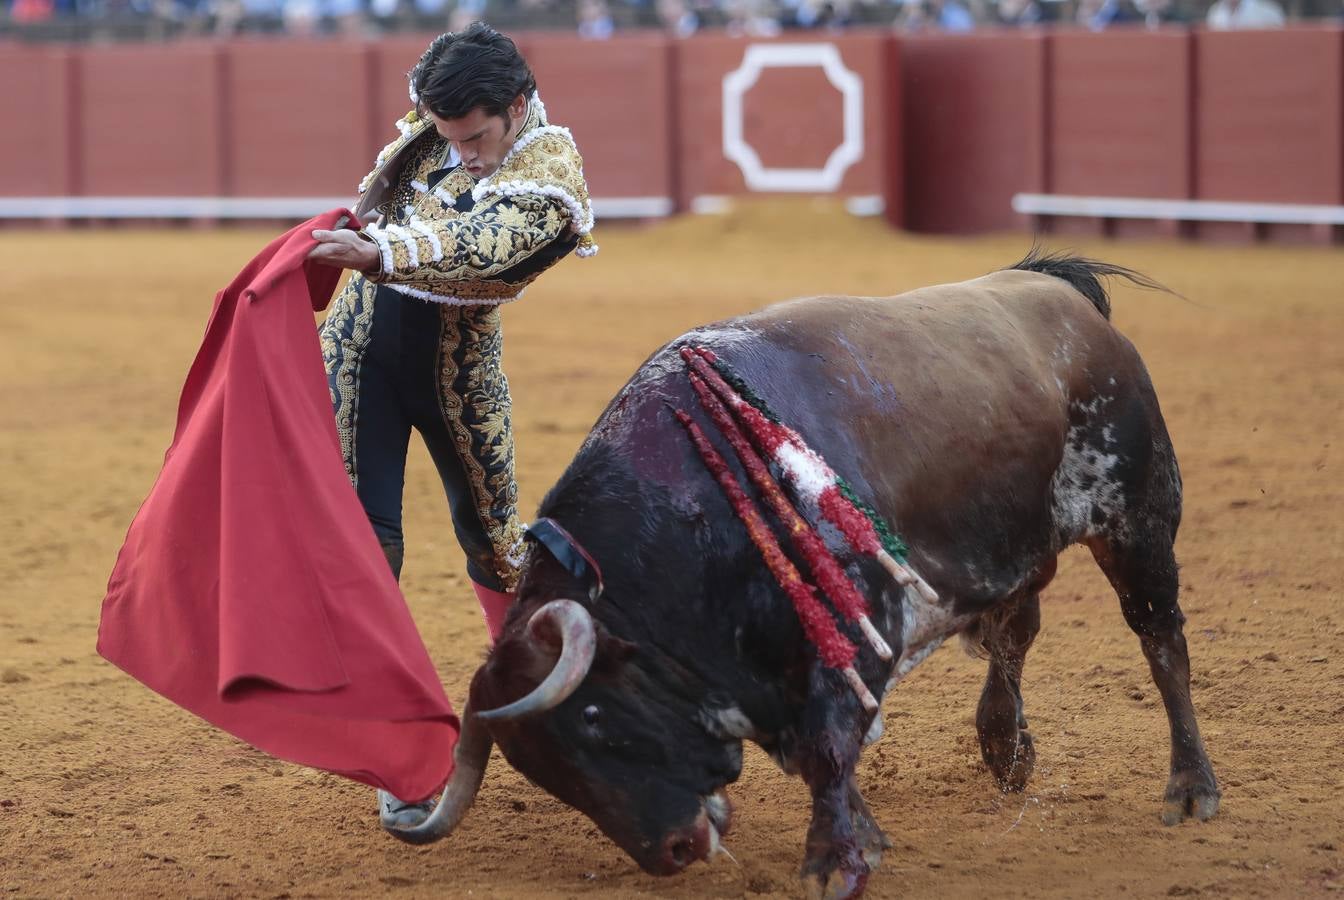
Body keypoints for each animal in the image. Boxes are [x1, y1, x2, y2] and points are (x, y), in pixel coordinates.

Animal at [387, 249, 1220, 897]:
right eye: (541, 771)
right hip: (1019, 548)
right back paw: (1006, 750)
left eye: (591, 716)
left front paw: (832, 864)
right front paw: (864, 838)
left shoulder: (856, 631)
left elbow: (827, 749)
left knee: (1161, 641)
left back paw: (1192, 790)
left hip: (1138, 519)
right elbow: (822, 757)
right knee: (1014, 632)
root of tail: (1059, 294)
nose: (672, 851)